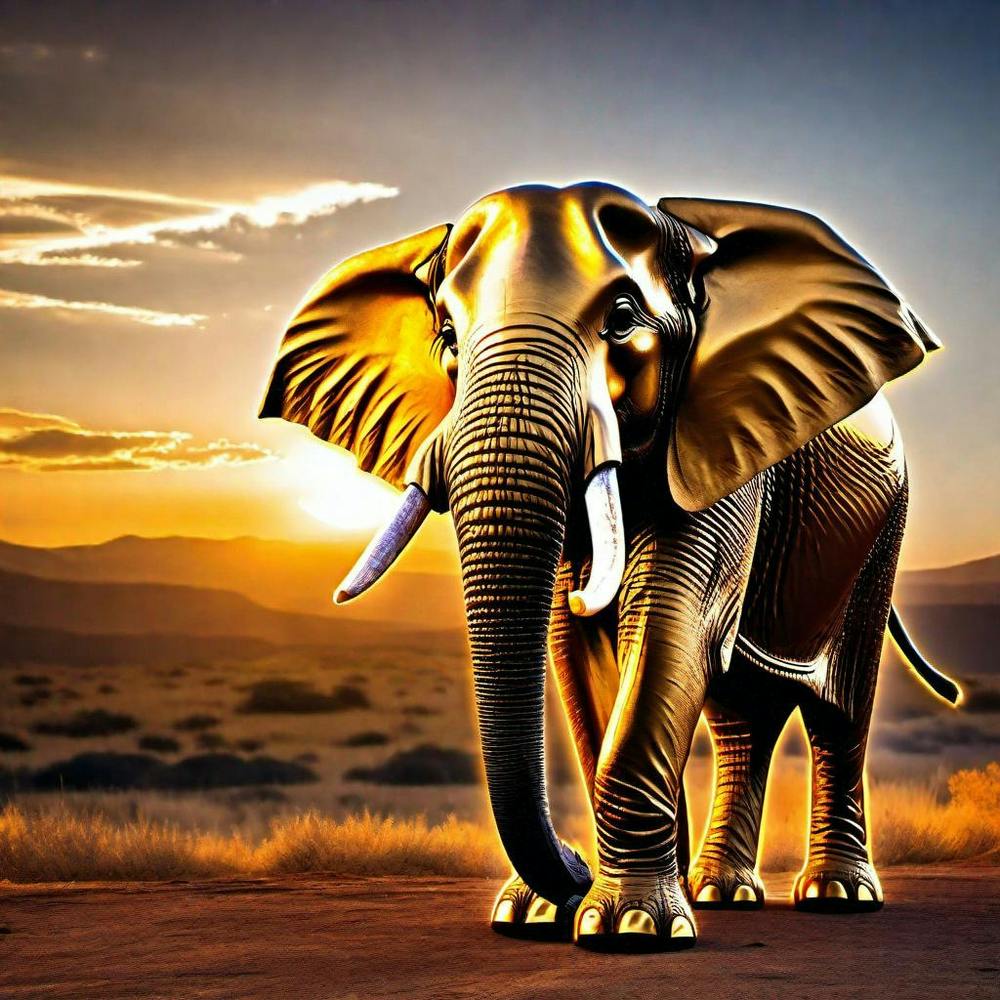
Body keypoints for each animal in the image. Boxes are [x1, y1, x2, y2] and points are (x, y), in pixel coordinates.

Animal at [259, 182, 960, 952]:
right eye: (446, 336)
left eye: (622, 322)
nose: (566, 866)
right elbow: (578, 644)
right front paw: (545, 915)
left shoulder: (719, 439)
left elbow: (671, 618)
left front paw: (628, 925)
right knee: (742, 714)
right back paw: (719, 893)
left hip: (886, 521)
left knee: (841, 708)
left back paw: (836, 896)